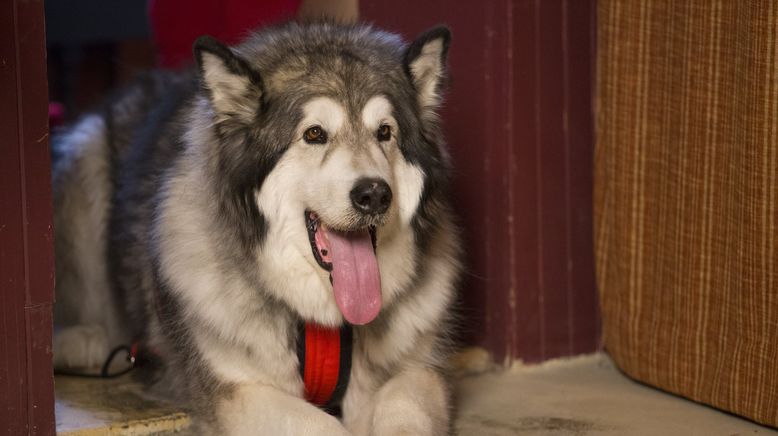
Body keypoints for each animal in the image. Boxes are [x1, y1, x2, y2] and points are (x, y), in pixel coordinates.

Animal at [53, 22, 460, 434]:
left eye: (384, 133)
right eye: (314, 134)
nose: (374, 195)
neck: (324, 321)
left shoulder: (419, 373)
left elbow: (404, 407)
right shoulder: (237, 392)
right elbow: (321, 425)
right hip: (85, 164)